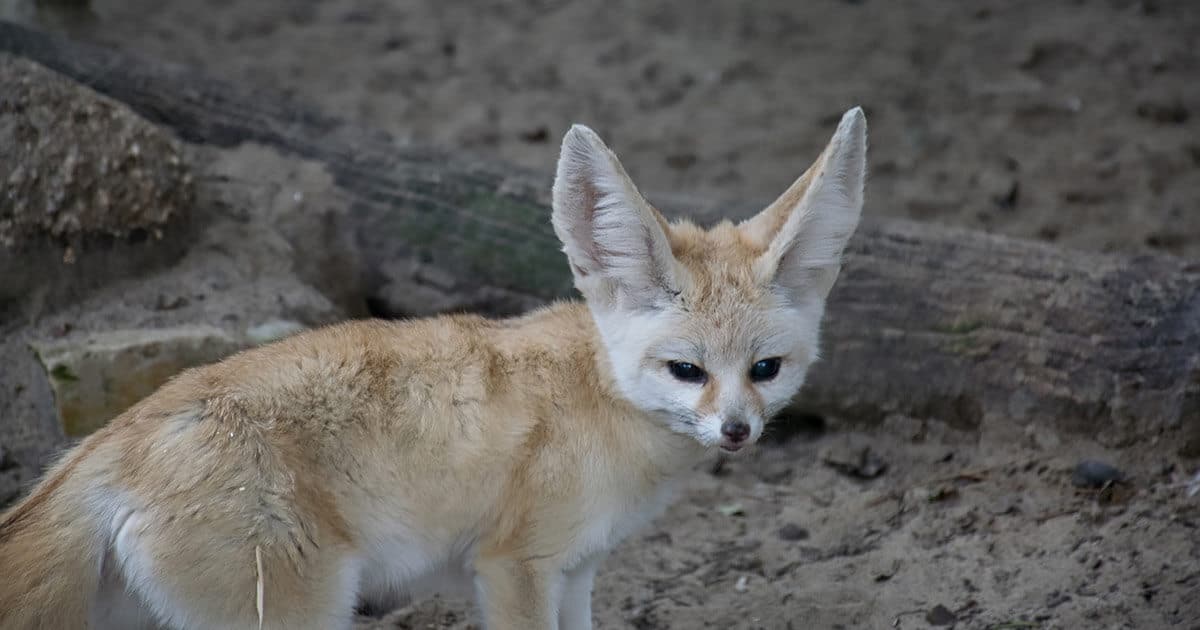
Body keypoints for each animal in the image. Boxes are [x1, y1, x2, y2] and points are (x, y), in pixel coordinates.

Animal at [0, 106, 868, 624]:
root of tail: (116, 437)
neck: (598, 398)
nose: (736, 432)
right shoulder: (515, 566)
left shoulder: (578, 569)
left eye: (765, 369)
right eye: (686, 371)